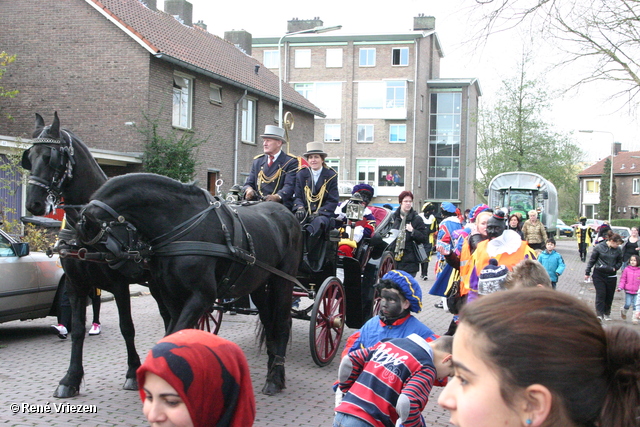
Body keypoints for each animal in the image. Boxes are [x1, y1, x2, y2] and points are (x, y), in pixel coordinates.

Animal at [22, 113, 165, 398]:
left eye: (51, 157)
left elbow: (127, 327)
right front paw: (70, 379)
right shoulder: (76, 284)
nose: (33, 203)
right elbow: (77, 330)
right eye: (29, 156)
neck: (90, 224)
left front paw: (132, 372)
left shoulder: (119, 284)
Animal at [77, 172, 302, 396]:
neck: (182, 225)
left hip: (283, 281)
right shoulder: (171, 296)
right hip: (258, 285)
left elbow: (175, 334)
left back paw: (274, 378)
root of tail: (287, 215)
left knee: (283, 323)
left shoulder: (201, 296)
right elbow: (174, 334)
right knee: (269, 322)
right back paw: (274, 369)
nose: (128, 270)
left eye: (102, 241)